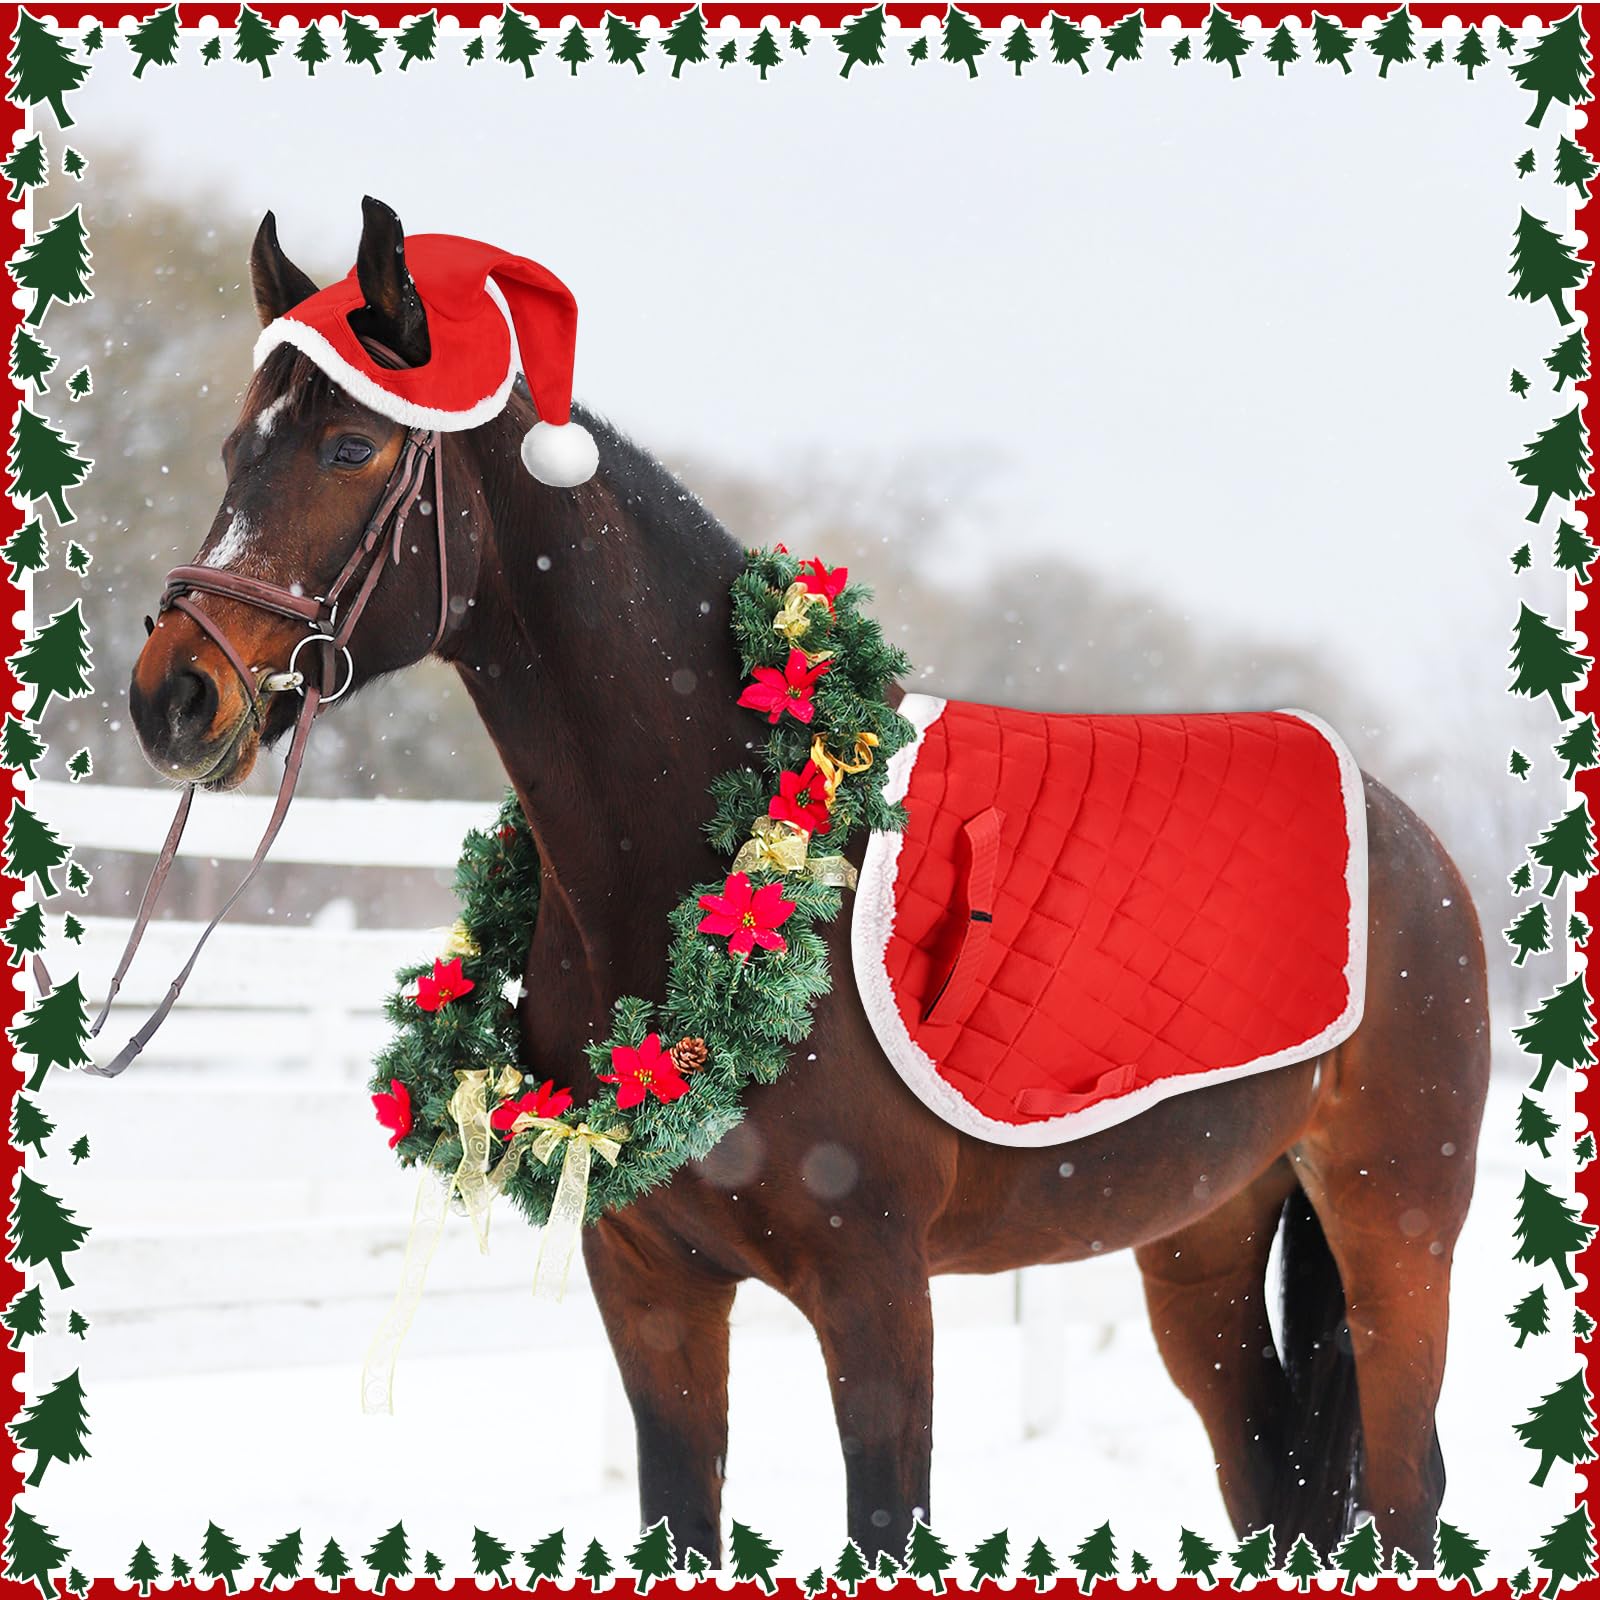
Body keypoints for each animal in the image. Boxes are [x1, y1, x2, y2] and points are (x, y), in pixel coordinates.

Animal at [126, 198, 1489, 1567]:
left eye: (352, 445)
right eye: (238, 444)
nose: (174, 696)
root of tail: (1407, 835)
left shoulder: (876, 1295)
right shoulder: (651, 1291)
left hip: (1392, 1225)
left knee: (1405, 1484)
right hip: (1202, 1238)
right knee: (1265, 1473)